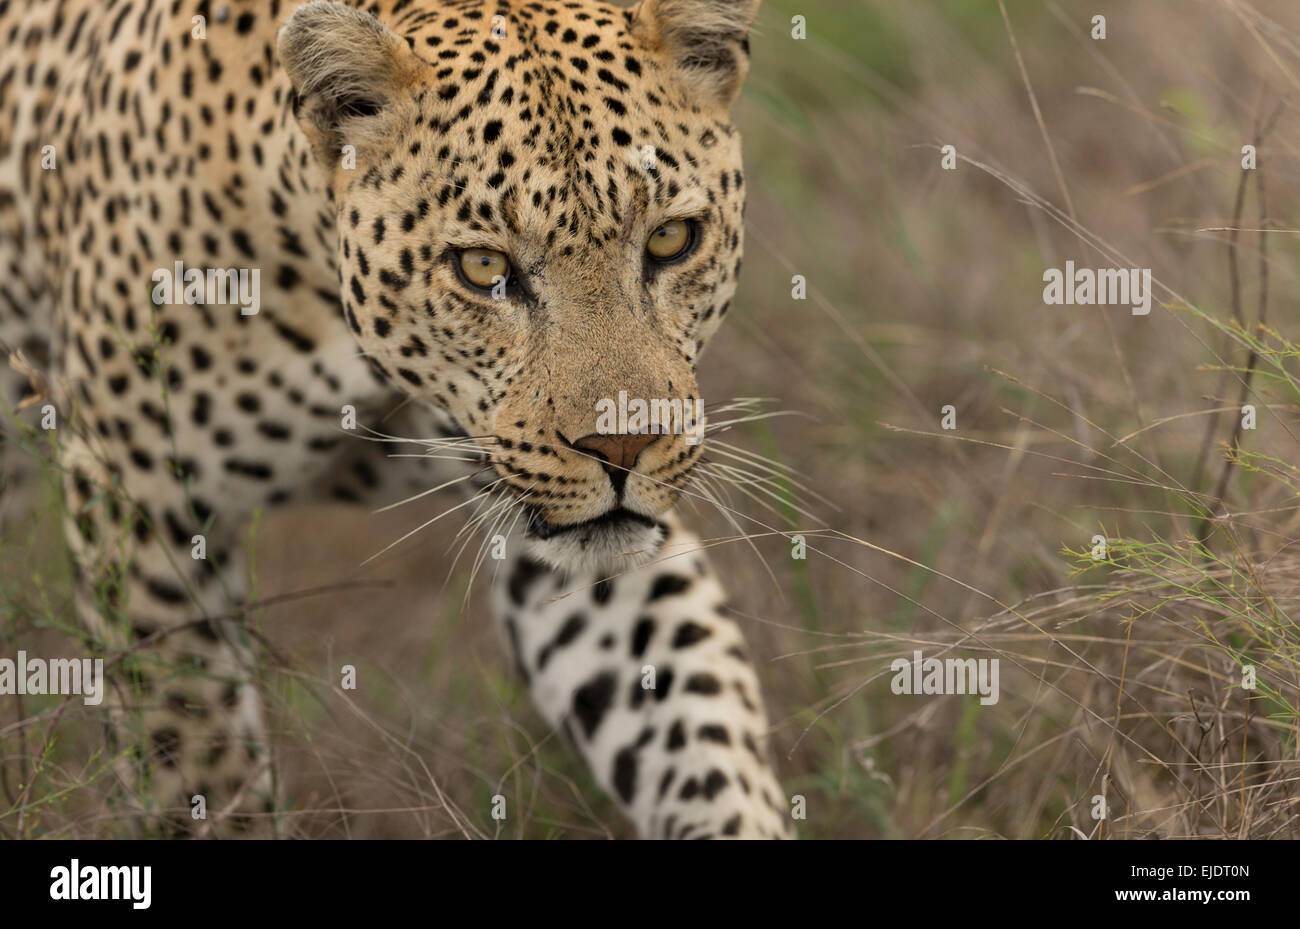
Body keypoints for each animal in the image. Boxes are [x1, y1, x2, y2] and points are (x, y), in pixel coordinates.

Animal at [0, 0, 790, 841]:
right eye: (483, 268)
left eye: (672, 239)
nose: (622, 446)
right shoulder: (144, 517)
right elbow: (200, 765)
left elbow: (696, 722)